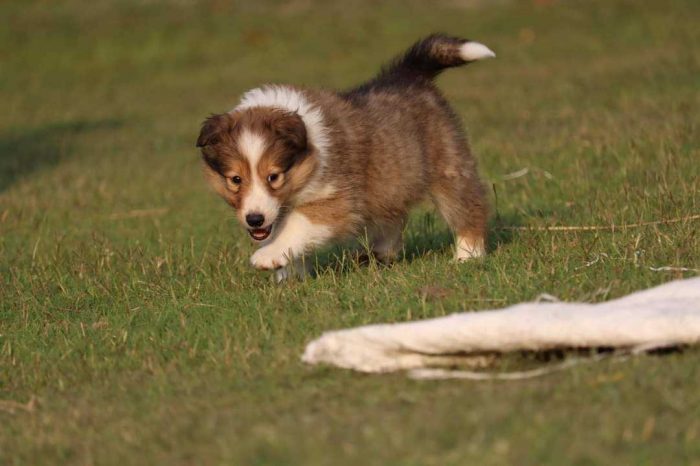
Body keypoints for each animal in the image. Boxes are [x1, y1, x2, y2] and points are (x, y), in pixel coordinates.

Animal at [196, 33, 492, 280]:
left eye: (273, 176)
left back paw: (467, 255)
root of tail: (407, 74)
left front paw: (268, 256)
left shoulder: (337, 200)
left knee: (468, 206)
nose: (254, 220)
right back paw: (380, 255)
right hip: (390, 178)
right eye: (235, 179)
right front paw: (289, 275)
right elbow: (282, 229)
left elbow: (298, 224)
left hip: (447, 163)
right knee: (392, 218)